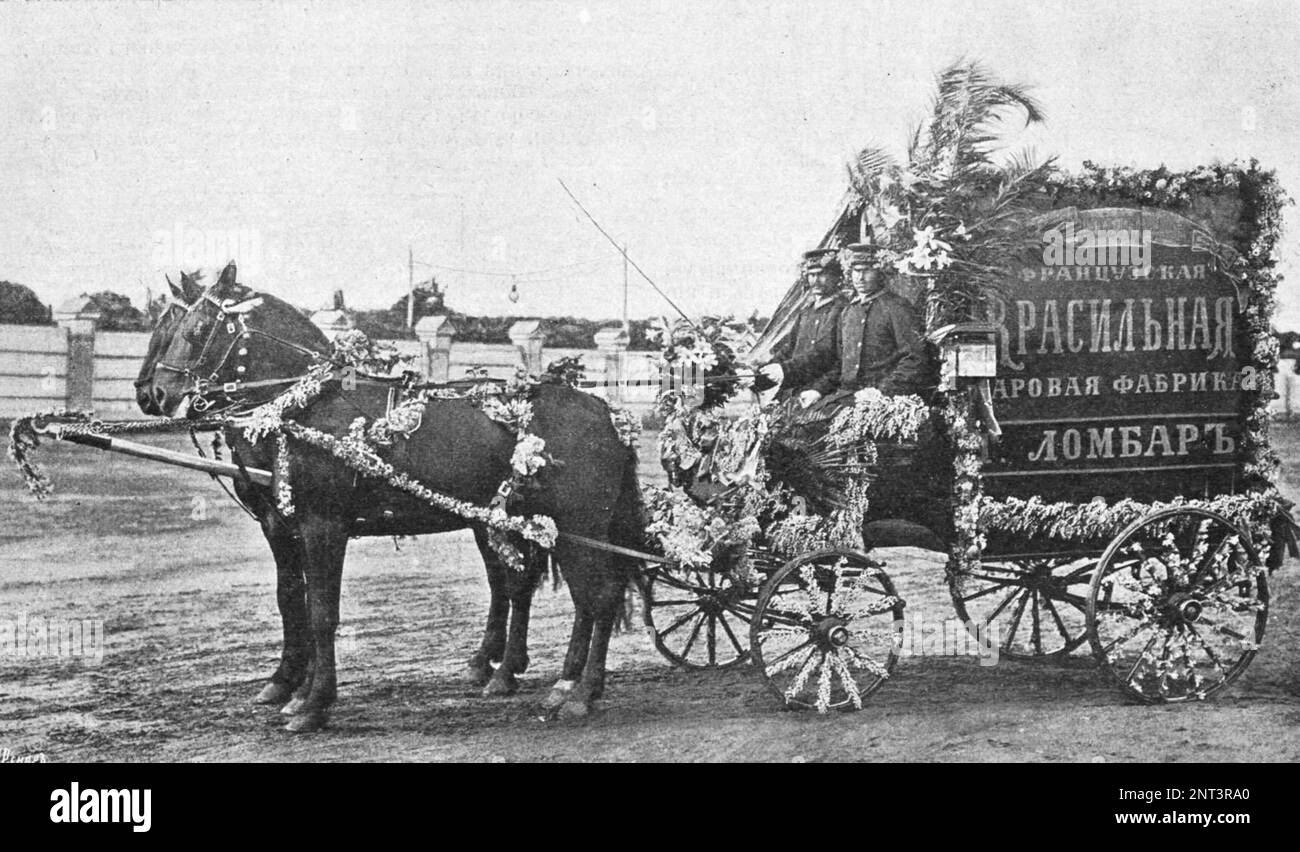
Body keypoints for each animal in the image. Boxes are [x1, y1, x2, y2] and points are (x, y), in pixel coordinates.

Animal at [139, 261, 642, 733]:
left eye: (195, 330)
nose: (155, 392)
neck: (306, 406)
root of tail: (607, 413)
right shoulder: (283, 524)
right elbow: (293, 599)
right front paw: (291, 688)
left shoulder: (323, 526)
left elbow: (321, 611)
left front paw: (313, 703)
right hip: (532, 522)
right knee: (556, 592)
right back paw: (551, 681)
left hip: (578, 524)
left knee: (597, 595)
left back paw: (578, 691)